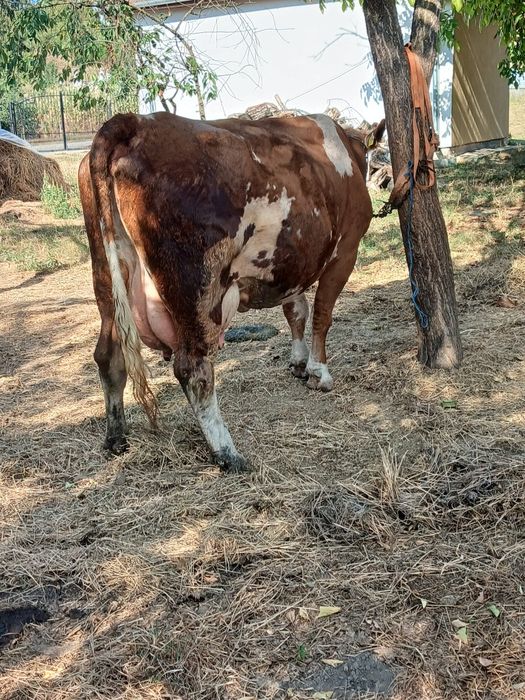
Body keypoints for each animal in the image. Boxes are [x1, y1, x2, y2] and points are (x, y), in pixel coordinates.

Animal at [78, 111, 385, 472]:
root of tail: (135, 122)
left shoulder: (289, 264)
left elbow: (296, 311)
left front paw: (298, 362)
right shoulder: (345, 251)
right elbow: (322, 314)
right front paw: (318, 372)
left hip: (107, 278)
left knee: (108, 355)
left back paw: (116, 437)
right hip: (198, 290)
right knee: (192, 369)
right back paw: (227, 452)